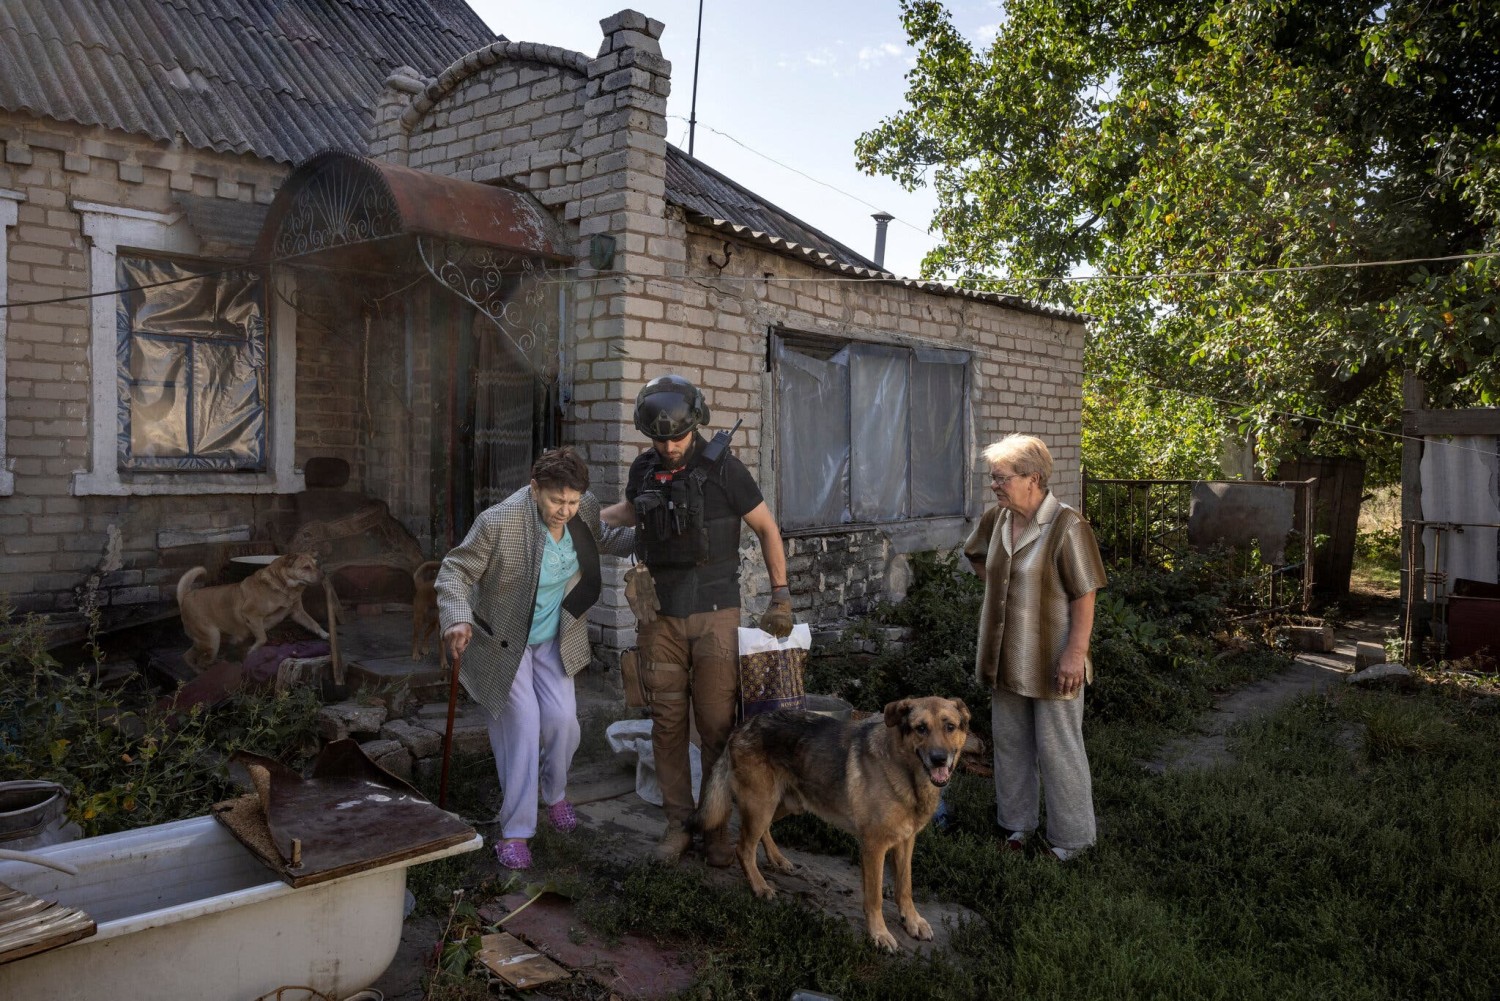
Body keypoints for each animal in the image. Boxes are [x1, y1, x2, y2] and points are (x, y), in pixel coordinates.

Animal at [175, 552, 328, 669]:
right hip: (212, 640)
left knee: (187, 656)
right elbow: (263, 638)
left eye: (315, 565)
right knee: (201, 661)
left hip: (205, 641)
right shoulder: (251, 615)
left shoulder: (297, 613)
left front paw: (326, 635)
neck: (284, 587)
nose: (323, 576)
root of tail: (185, 597)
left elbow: (314, 624)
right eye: (306, 567)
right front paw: (252, 650)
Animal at [693, 693, 972, 954]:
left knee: (764, 831)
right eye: (920, 728)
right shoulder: (874, 846)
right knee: (744, 849)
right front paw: (879, 934)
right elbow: (875, 897)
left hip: (785, 804)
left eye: (949, 726)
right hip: (762, 804)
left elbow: (905, 887)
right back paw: (759, 886)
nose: (939, 759)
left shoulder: (905, 841)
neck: (906, 771)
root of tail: (743, 725)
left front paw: (912, 920)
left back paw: (777, 859)